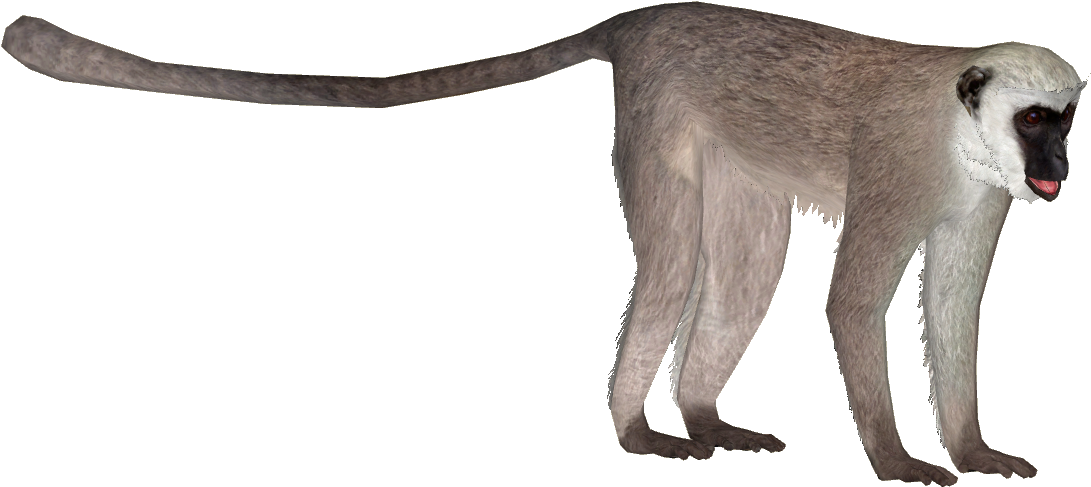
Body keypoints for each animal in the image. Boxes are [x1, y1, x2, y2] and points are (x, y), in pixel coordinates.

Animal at [3, 4, 1081, 484]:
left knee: (739, 267)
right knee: (673, 268)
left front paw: (970, 445)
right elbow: (852, 303)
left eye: (1063, 119)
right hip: (658, 118)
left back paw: (701, 413)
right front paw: (898, 457)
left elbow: (950, 309)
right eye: (1035, 121)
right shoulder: (900, 163)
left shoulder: (976, 196)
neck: (955, 129)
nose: (1059, 164)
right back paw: (639, 425)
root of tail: (648, 18)